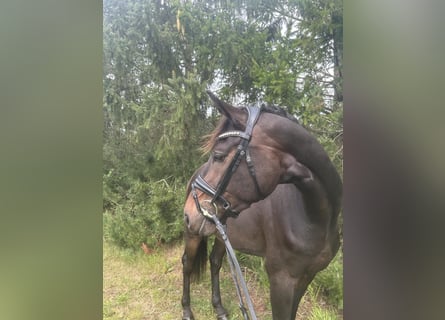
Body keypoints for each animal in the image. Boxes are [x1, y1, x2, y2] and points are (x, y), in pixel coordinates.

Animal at [180, 91, 340, 318]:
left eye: (218, 156)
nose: (189, 213)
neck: (315, 219)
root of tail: (195, 174)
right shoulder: (281, 280)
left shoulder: (306, 277)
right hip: (193, 234)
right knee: (187, 264)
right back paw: (186, 310)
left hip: (222, 234)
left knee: (215, 262)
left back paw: (219, 308)